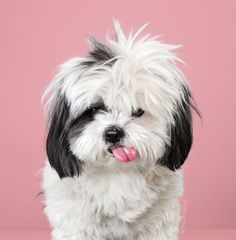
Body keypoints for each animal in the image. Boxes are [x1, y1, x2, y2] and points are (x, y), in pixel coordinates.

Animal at [42, 21, 197, 240]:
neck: (117, 173)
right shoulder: (76, 223)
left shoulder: (159, 224)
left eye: (138, 111)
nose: (113, 133)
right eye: (94, 109)